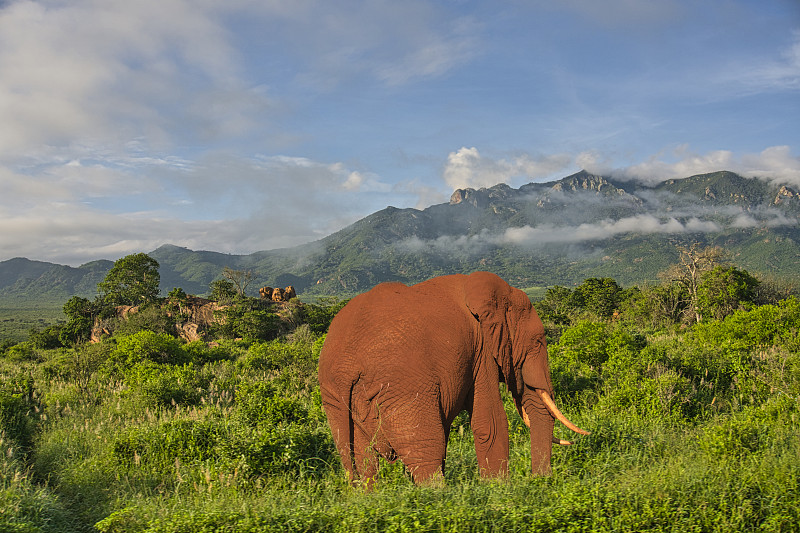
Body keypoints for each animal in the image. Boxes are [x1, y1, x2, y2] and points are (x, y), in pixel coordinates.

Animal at [318, 272, 588, 484]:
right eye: (539, 341)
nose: (540, 481)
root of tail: (344, 367)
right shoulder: (481, 349)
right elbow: (491, 422)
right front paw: (499, 490)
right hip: (403, 388)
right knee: (426, 449)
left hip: (334, 399)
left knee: (360, 461)